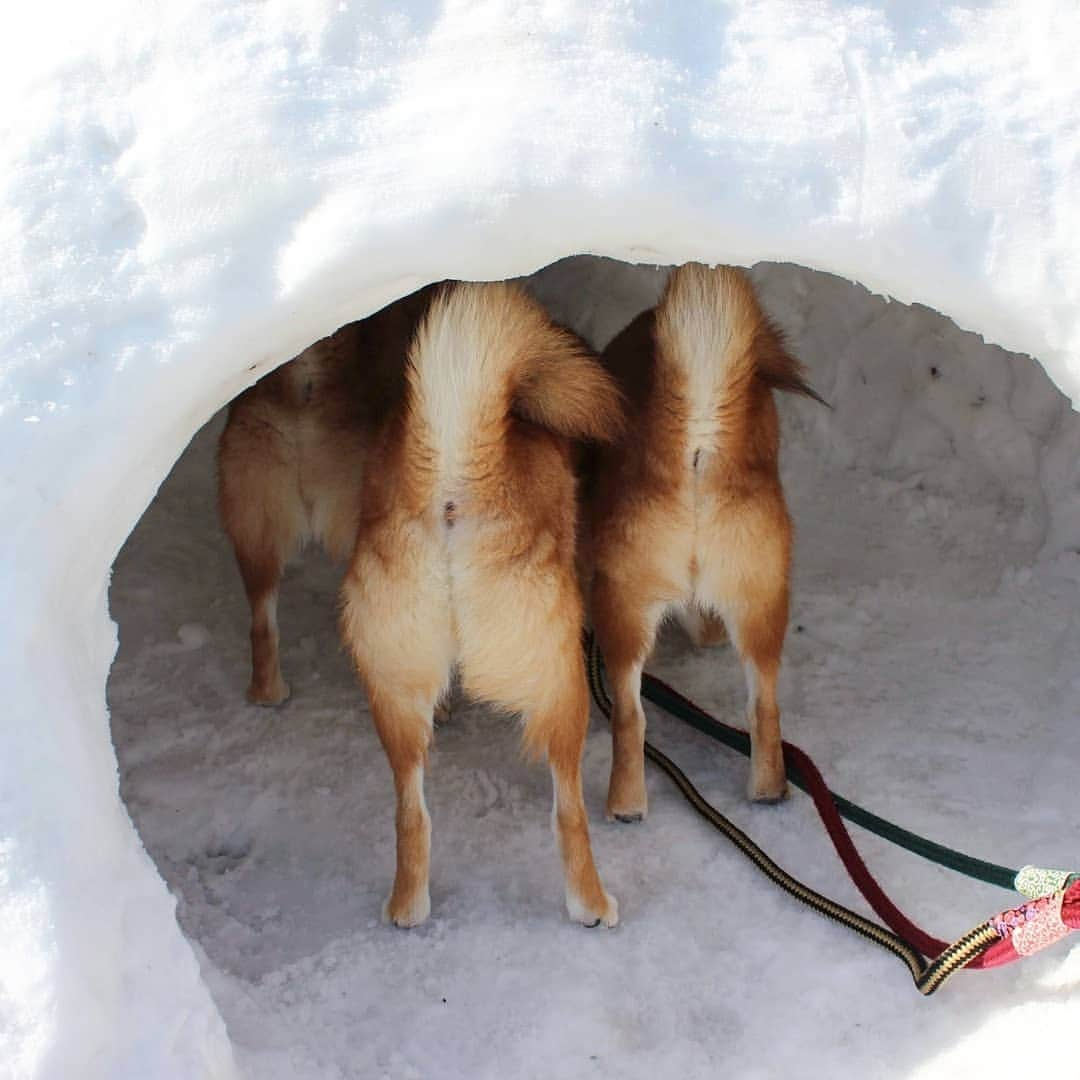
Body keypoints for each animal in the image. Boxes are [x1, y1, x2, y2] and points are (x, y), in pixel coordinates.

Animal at [336, 280, 626, 928]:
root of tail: (450, 480)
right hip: (561, 683)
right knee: (567, 813)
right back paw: (592, 903)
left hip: (394, 691)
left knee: (411, 814)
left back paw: (408, 906)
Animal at [583, 265, 825, 820]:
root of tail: (698, 442)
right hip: (760, 601)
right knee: (764, 709)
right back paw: (768, 790)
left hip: (624, 606)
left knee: (629, 717)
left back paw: (624, 806)